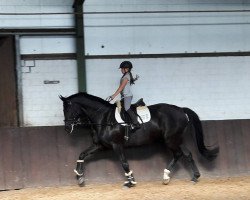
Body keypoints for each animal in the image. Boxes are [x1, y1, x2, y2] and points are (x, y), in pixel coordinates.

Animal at [59, 92, 218, 188]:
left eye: (68, 109)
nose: (67, 128)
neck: (103, 118)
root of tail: (181, 109)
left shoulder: (116, 145)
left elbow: (124, 163)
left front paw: (130, 181)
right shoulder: (100, 145)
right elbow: (82, 154)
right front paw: (80, 177)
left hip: (170, 140)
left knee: (178, 154)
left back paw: (166, 176)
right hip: (176, 139)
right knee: (187, 154)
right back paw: (194, 177)